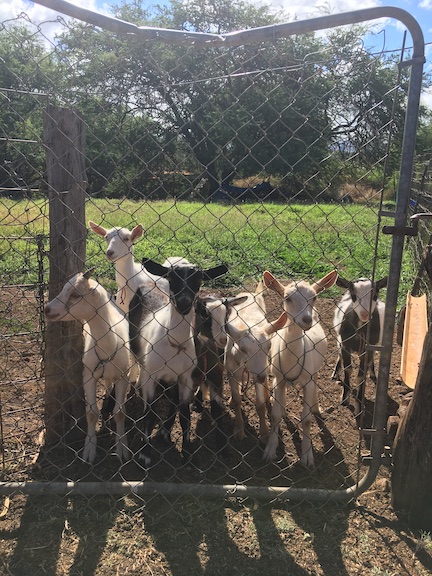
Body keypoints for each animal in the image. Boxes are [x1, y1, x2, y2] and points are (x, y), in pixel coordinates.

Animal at [44, 270, 132, 464]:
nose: (47, 309)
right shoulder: (89, 375)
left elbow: (120, 413)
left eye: (76, 295)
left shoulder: (123, 375)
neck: (107, 346)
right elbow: (91, 413)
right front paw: (89, 449)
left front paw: (122, 448)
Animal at [128, 258, 228, 466]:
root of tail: (147, 284)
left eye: (199, 279)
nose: (184, 304)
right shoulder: (152, 376)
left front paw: (188, 453)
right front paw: (144, 454)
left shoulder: (185, 378)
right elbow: (150, 414)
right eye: (172, 277)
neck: (175, 343)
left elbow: (185, 415)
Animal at [264, 268, 338, 468]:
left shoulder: (308, 380)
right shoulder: (278, 378)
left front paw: (307, 455)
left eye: (314, 297)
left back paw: (316, 407)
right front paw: (270, 450)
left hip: (315, 371)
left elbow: (306, 419)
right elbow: (275, 415)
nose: (306, 319)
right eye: (287, 297)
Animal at [332, 276, 386, 414]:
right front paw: (345, 398)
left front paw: (359, 405)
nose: (365, 314)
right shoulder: (345, 344)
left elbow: (361, 375)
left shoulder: (368, 348)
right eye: (353, 295)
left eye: (375, 295)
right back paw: (335, 374)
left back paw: (373, 374)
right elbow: (348, 369)